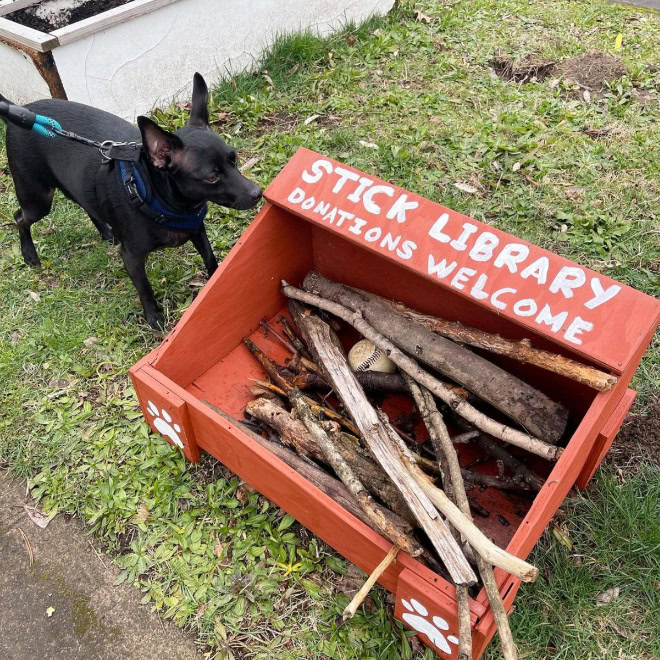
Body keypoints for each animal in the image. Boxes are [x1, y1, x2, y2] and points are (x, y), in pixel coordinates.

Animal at [1, 73, 260, 328]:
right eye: (212, 177)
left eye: (234, 158)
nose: (257, 192)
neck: (159, 199)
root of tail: (21, 109)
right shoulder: (132, 258)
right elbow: (144, 288)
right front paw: (154, 317)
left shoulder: (197, 231)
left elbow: (210, 259)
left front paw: (216, 283)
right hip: (38, 199)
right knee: (19, 217)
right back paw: (29, 254)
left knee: (86, 204)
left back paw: (106, 232)